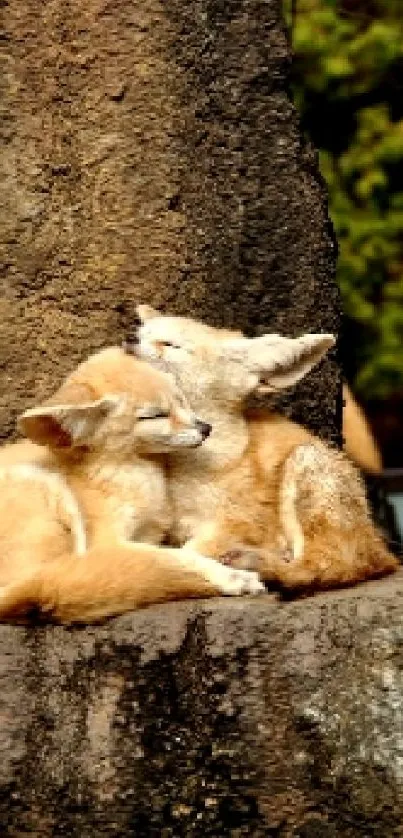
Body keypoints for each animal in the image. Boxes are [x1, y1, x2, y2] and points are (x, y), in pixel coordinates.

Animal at [0, 346, 266, 624]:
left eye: (180, 400)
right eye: (156, 415)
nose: (206, 428)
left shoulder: (145, 533)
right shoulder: (107, 541)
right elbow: (176, 555)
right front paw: (229, 576)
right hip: (47, 490)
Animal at [134, 306, 400, 592]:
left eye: (170, 344)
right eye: (140, 336)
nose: (129, 344)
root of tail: (381, 548)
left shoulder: (238, 522)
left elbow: (184, 554)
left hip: (305, 466)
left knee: (322, 567)